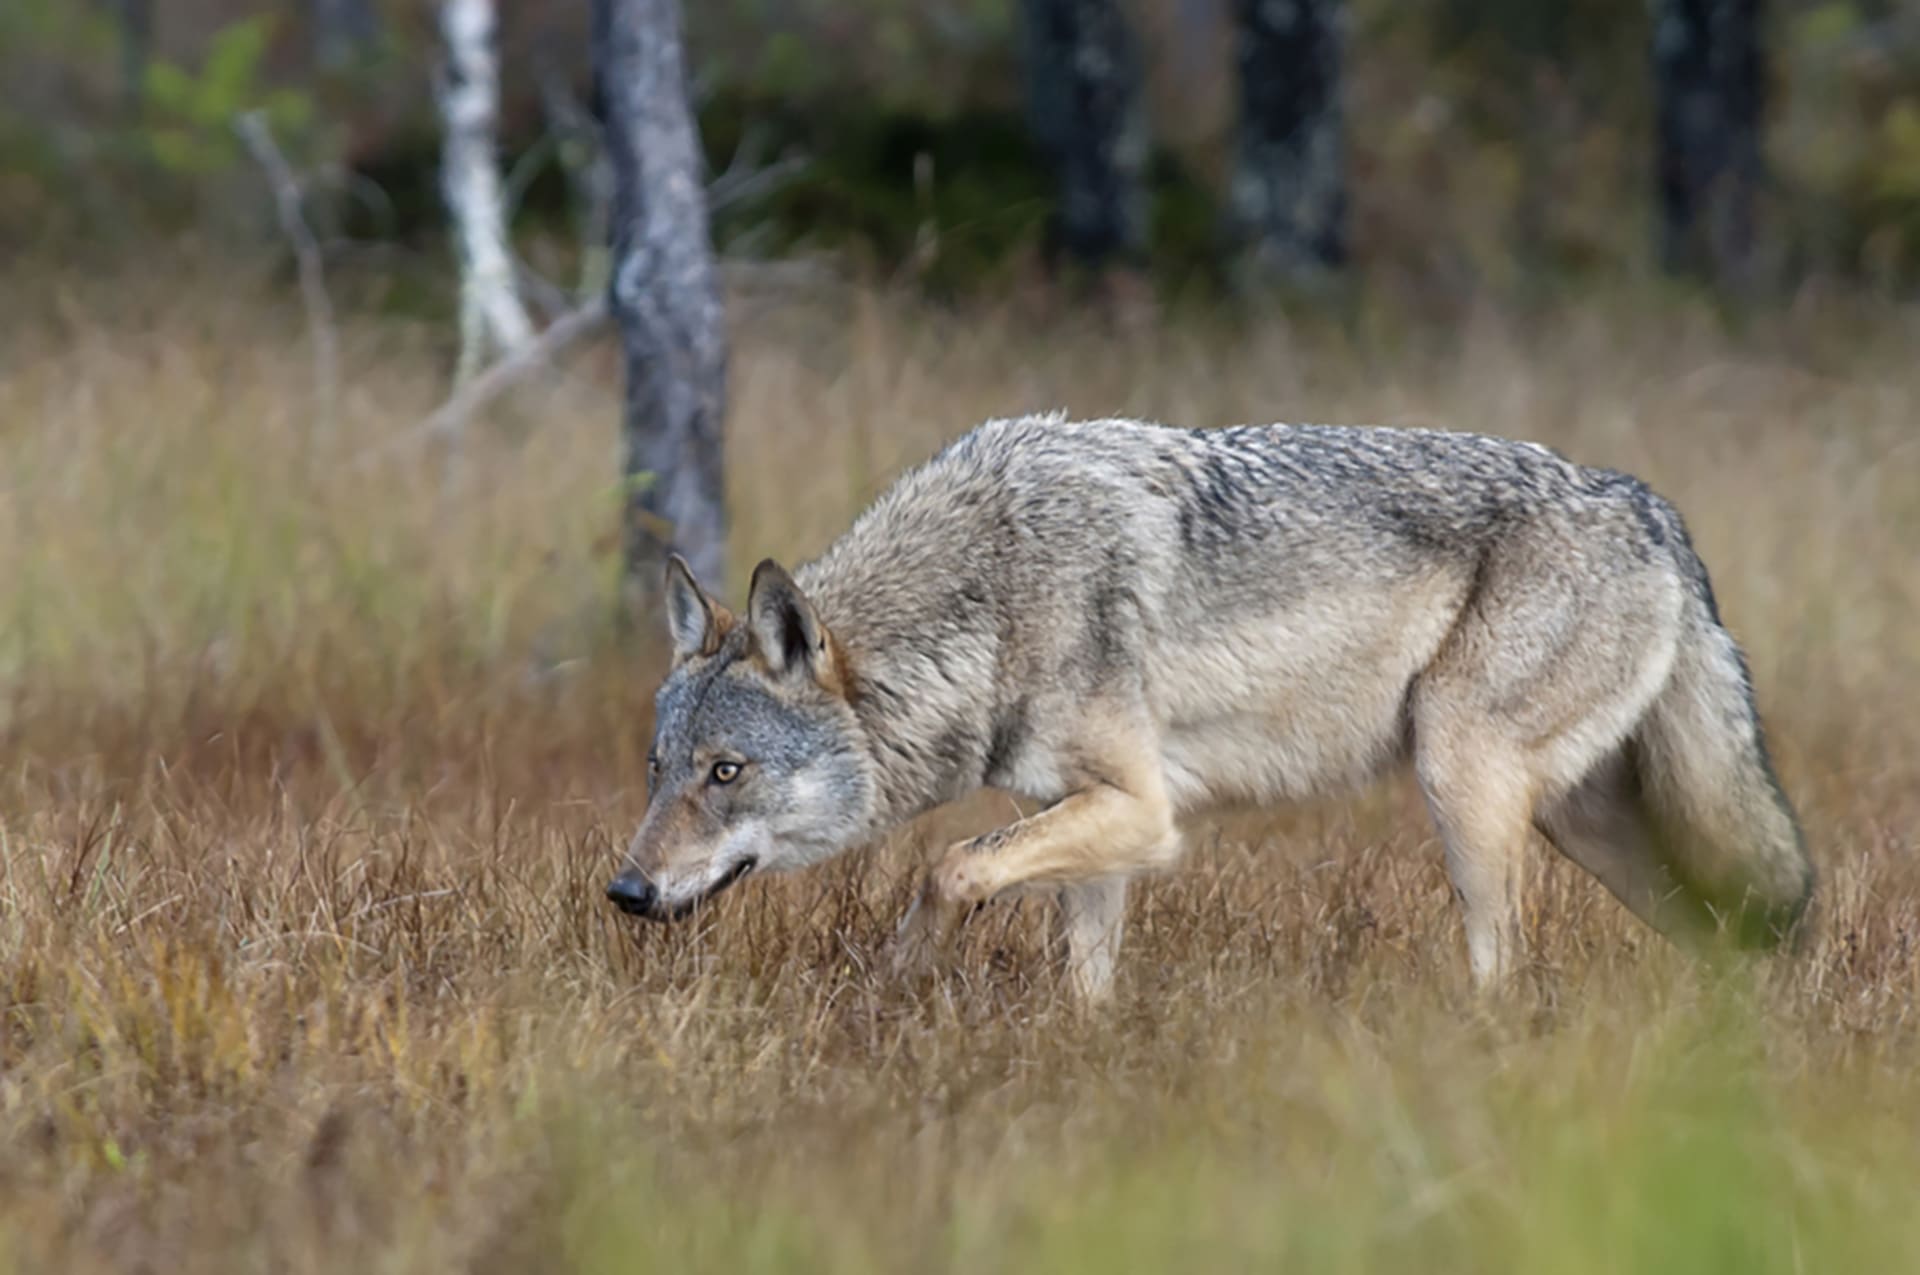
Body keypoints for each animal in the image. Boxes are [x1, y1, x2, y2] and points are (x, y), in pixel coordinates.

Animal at [610, 412, 1812, 998]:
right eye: (659, 769)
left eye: (727, 772)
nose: (624, 891)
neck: (994, 592)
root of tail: (1652, 507)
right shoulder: (1091, 825)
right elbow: (1082, 977)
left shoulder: (1145, 814)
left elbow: (948, 866)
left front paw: (896, 978)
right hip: (1590, 825)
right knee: (1726, 932)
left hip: (1461, 780)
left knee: (1507, 966)